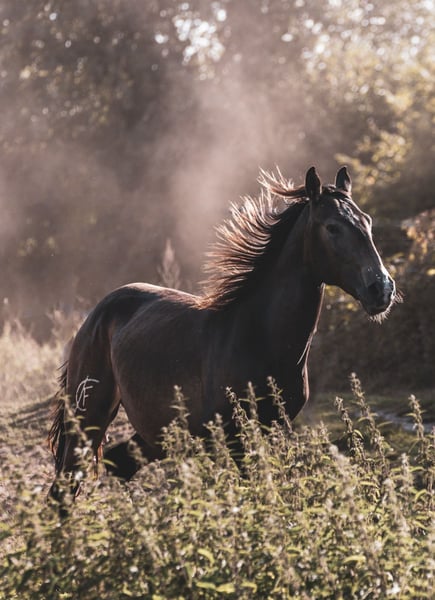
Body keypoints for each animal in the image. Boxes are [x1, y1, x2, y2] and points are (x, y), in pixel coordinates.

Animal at [48, 166, 396, 502]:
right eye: (332, 227)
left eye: (367, 221)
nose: (381, 288)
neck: (257, 336)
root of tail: (96, 315)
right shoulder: (234, 441)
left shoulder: (274, 430)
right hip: (88, 417)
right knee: (63, 488)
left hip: (157, 432)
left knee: (119, 465)